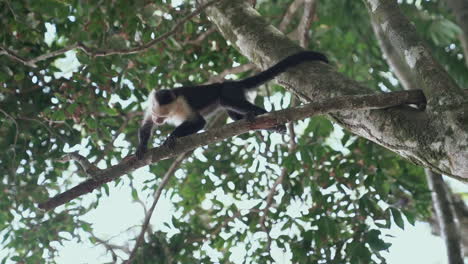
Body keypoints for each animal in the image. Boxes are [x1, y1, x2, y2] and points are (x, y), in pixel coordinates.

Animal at [134, 50, 326, 160]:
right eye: (157, 115)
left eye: (163, 116)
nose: (159, 121)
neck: (173, 107)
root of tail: (233, 82)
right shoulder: (150, 106)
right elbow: (145, 127)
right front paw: (141, 147)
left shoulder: (182, 104)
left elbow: (199, 122)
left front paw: (172, 137)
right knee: (234, 114)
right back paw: (268, 125)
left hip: (230, 91)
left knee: (229, 101)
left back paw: (266, 116)